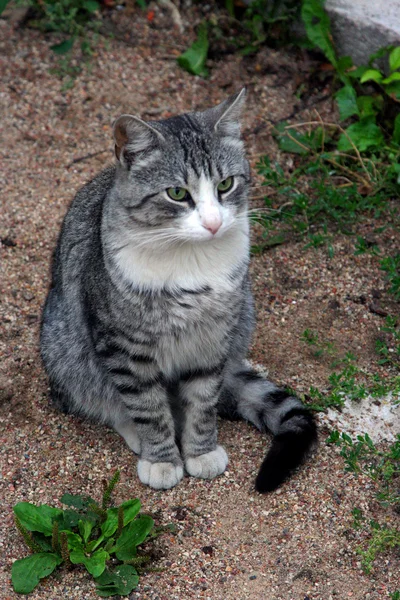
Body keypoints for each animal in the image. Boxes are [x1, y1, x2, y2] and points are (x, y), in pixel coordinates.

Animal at [39, 89, 316, 492]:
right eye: (176, 193)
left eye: (225, 185)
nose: (213, 223)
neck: (191, 261)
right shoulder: (124, 347)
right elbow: (147, 406)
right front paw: (162, 458)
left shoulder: (213, 338)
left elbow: (202, 399)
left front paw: (201, 450)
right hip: (65, 352)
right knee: (101, 396)